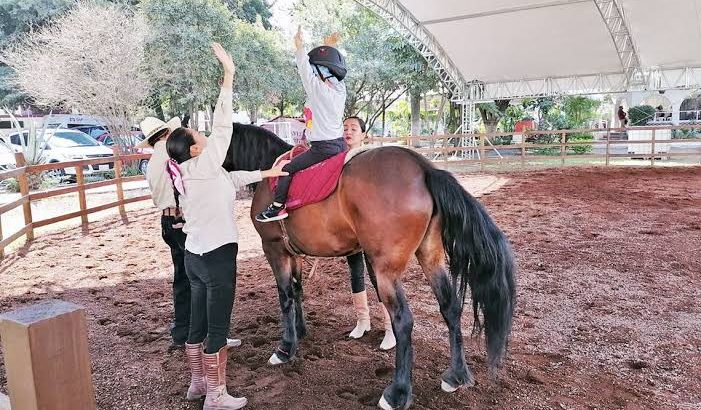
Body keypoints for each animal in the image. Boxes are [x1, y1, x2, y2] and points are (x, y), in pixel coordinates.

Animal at [221, 123, 516, 408]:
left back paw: (398, 393)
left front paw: (285, 348)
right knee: (451, 308)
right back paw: (456, 375)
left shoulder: (273, 249)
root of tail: (424, 167)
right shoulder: (292, 253)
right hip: (430, 257)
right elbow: (297, 290)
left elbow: (285, 297)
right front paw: (300, 332)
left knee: (404, 320)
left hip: (385, 271)